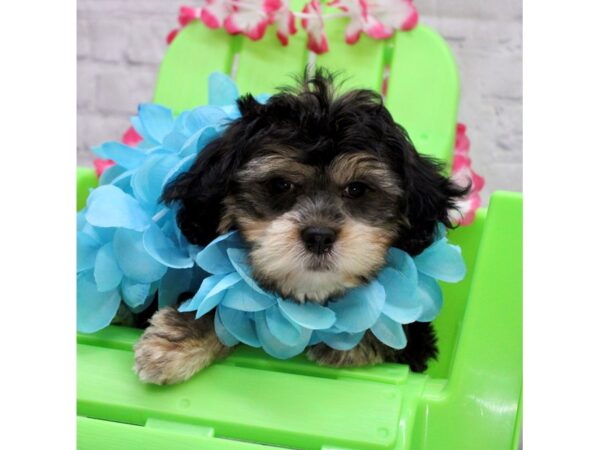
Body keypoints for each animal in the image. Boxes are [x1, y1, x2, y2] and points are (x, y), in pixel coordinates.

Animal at [134, 69, 466, 384]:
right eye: (280, 185)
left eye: (357, 189)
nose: (319, 236)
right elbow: (224, 309)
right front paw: (175, 344)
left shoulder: (416, 339)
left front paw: (343, 342)